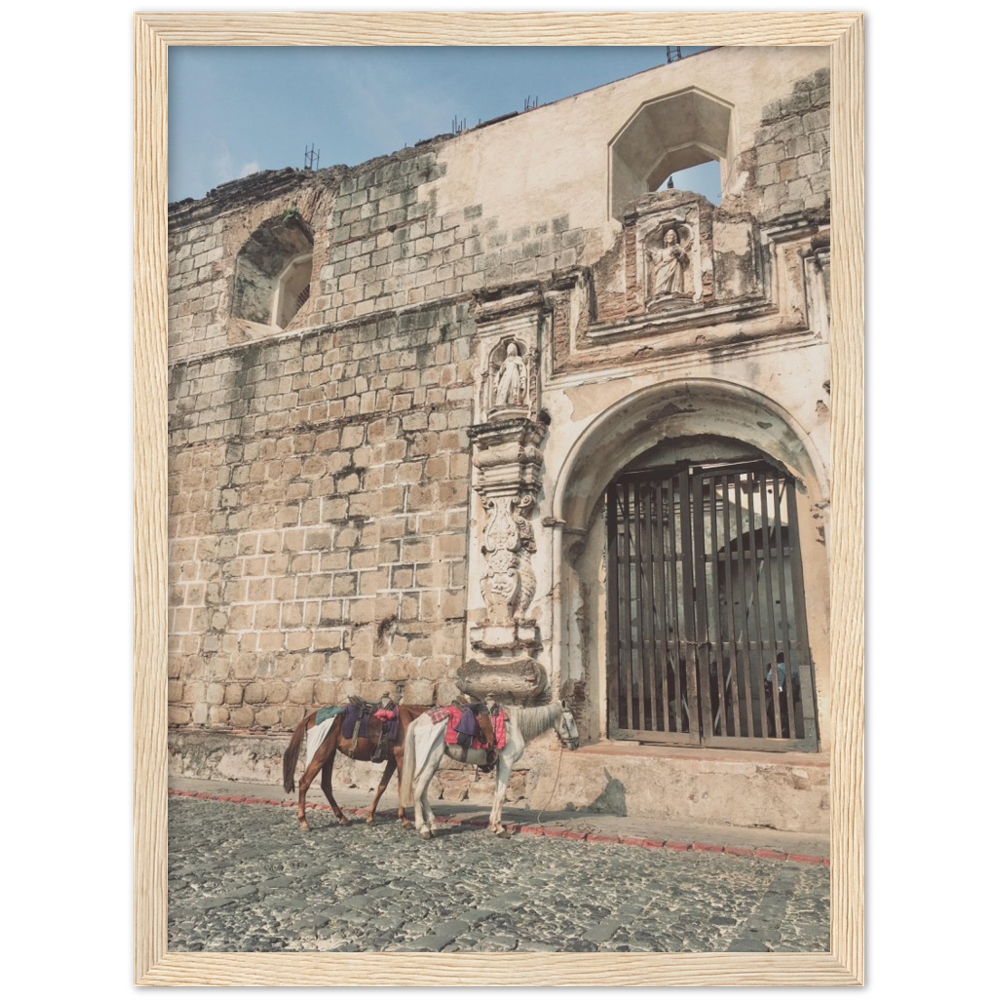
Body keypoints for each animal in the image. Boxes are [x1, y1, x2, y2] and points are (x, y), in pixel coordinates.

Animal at [282, 708, 430, 832]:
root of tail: (310, 717)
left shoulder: (392, 761)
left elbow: (382, 786)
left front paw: (370, 817)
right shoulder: (401, 759)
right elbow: (401, 787)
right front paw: (405, 820)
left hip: (329, 754)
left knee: (326, 785)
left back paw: (342, 818)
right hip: (321, 755)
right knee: (304, 782)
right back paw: (304, 821)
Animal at [398, 700, 580, 840]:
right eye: (571, 720)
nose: (576, 743)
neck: (516, 725)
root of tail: (418, 721)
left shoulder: (500, 764)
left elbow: (497, 793)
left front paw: (493, 824)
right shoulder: (507, 763)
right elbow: (501, 796)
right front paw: (500, 829)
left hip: (432, 762)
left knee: (423, 791)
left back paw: (433, 826)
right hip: (429, 760)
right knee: (417, 790)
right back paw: (423, 829)